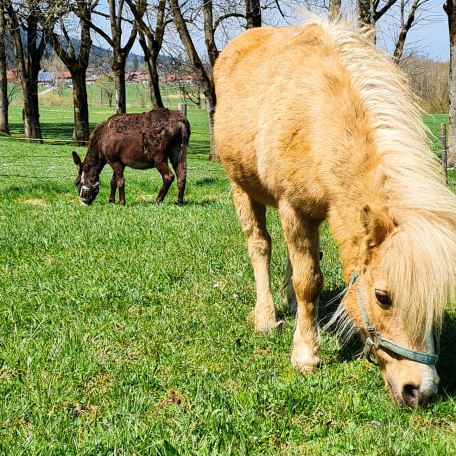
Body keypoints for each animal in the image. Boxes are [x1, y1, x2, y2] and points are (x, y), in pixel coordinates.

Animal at [214, 19, 456, 408]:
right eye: (383, 297)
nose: (420, 390)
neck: (318, 116)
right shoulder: (293, 207)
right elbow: (308, 280)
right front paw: (305, 354)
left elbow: (306, 269)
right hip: (242, 187)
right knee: (260, 247)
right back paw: (267, 316)